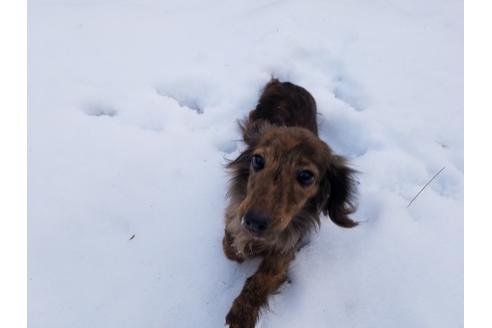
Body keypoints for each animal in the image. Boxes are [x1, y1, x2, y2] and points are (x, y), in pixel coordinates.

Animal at [223, 79, 358, 328]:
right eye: (258, 160)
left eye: (306, 176)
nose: (253, 222)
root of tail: (287, 82)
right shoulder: (235, 212)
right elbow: (231, 247)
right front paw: (241, 247)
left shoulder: (288, 245)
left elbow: (262, 278)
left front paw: (242, 312)